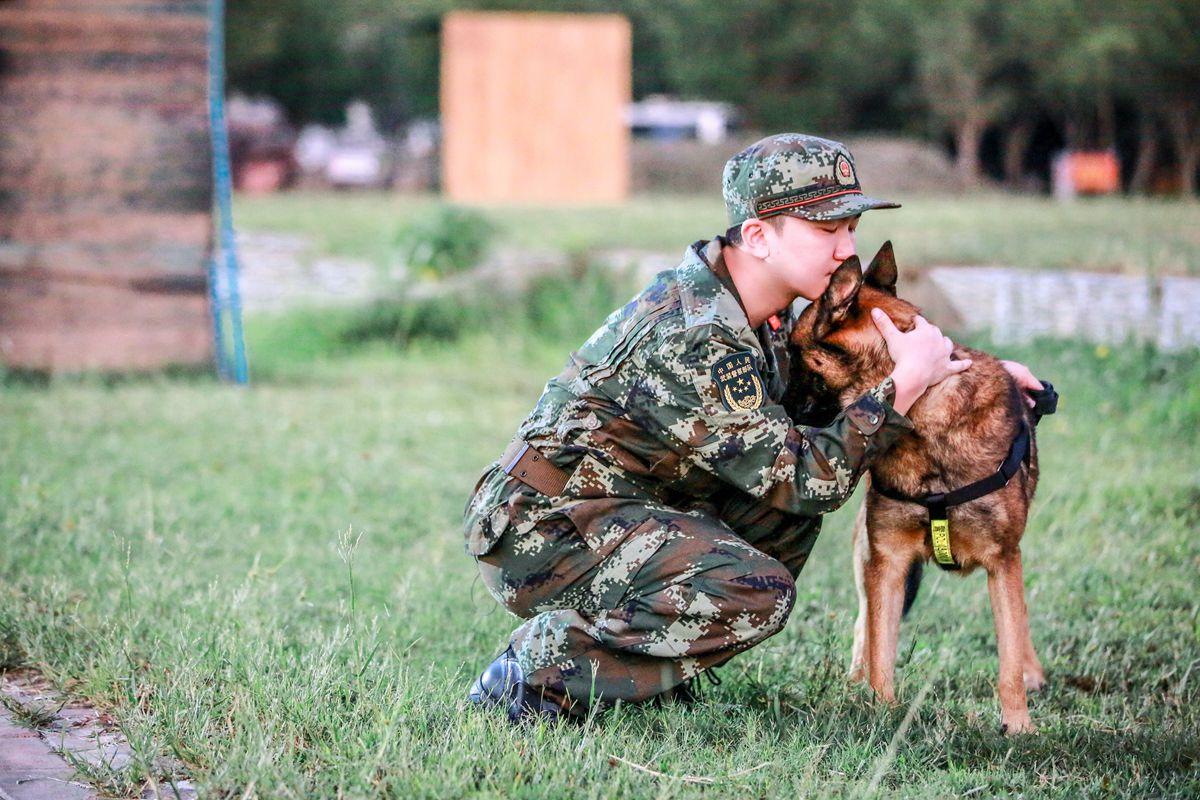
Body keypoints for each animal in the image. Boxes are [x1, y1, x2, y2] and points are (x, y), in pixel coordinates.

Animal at [782, 244, 1046, 738]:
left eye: (791, 350)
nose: (774, 400)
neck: (922, 413)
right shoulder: (888, 560)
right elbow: (882, 648)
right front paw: (881, 712)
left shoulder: (1003, 561)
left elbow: (1009, 653)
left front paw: (1018, 724)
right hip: (866, 556)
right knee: (865, 624)